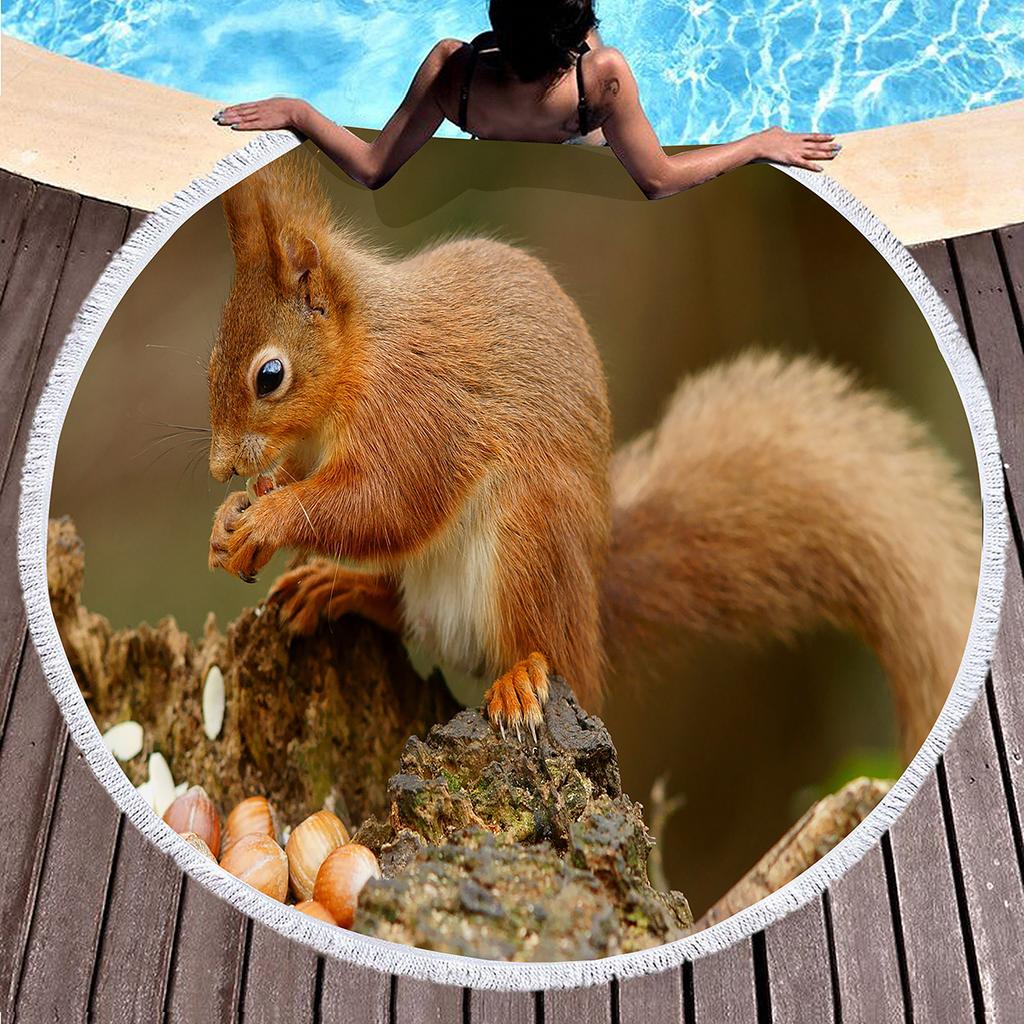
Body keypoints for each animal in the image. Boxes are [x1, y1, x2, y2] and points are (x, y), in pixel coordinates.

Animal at [207, 152, 979, 759]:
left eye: (269, 376)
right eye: (212, 358)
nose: (219, 466)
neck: (361, 354)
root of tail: (590, 605)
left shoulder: (417, 410)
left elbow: (388, 500)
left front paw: (267, 519)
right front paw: (236, 513)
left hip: (530, 532)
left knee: (540, 647)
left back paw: (522, 675)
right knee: (404, 611)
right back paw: (341, 586)